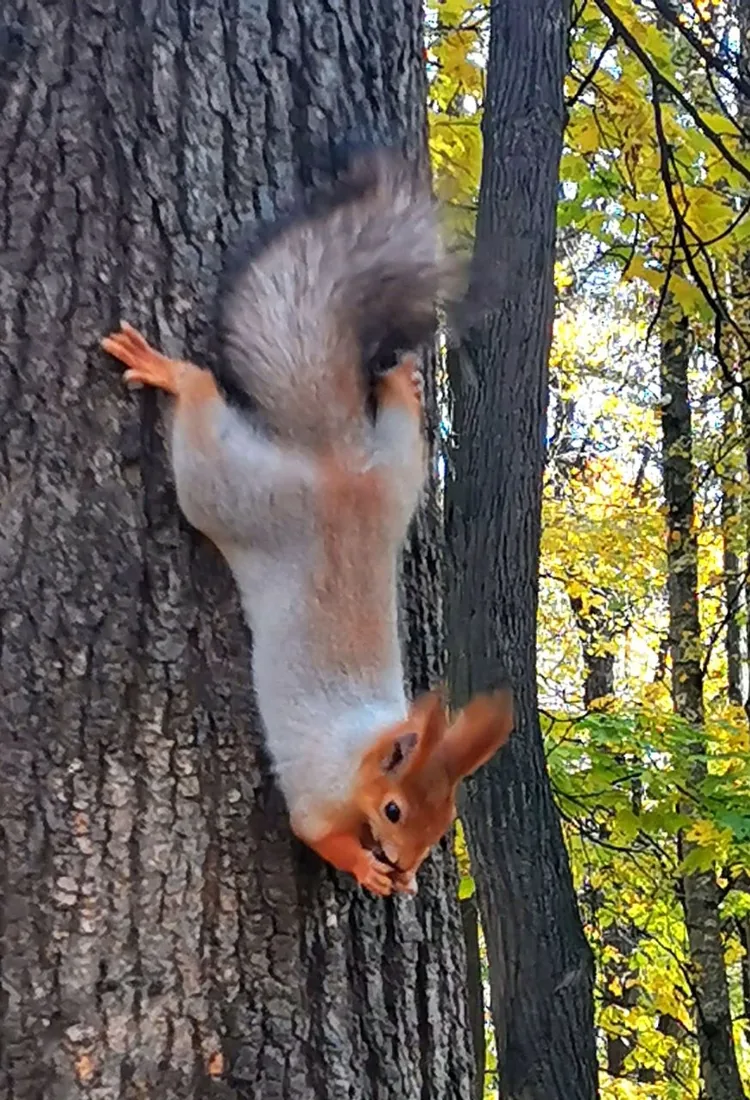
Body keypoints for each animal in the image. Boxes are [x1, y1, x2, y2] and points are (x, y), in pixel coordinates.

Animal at [101, 147, 514, 897]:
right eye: (393, 809)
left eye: (446, 822)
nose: (405, 862)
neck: (360, 745)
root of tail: (334, 465)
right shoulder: (317, 791)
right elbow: (315, 833)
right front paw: (368, 867)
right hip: (229, 490)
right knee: (200, 403)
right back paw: (169, 372)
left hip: (396, 476)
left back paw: (401, 385)